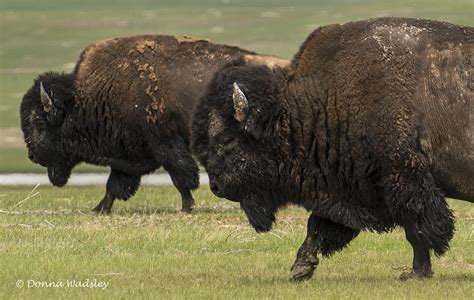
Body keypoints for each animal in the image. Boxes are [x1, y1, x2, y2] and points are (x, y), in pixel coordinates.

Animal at [20, 34, 288, 213]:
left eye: (38, 121)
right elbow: (114, 184)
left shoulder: (164, 142)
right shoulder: (127, 154)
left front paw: (187, 207)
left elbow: (181, 176)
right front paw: (100, 209)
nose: (31, 155)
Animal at [191, 17, 472, 282]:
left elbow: (417, 229)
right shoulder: (349, 189)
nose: (215, 186)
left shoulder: (403, 180)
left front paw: (416, 272)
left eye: (226, 139)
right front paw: (300, 269)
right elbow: (317, 226)